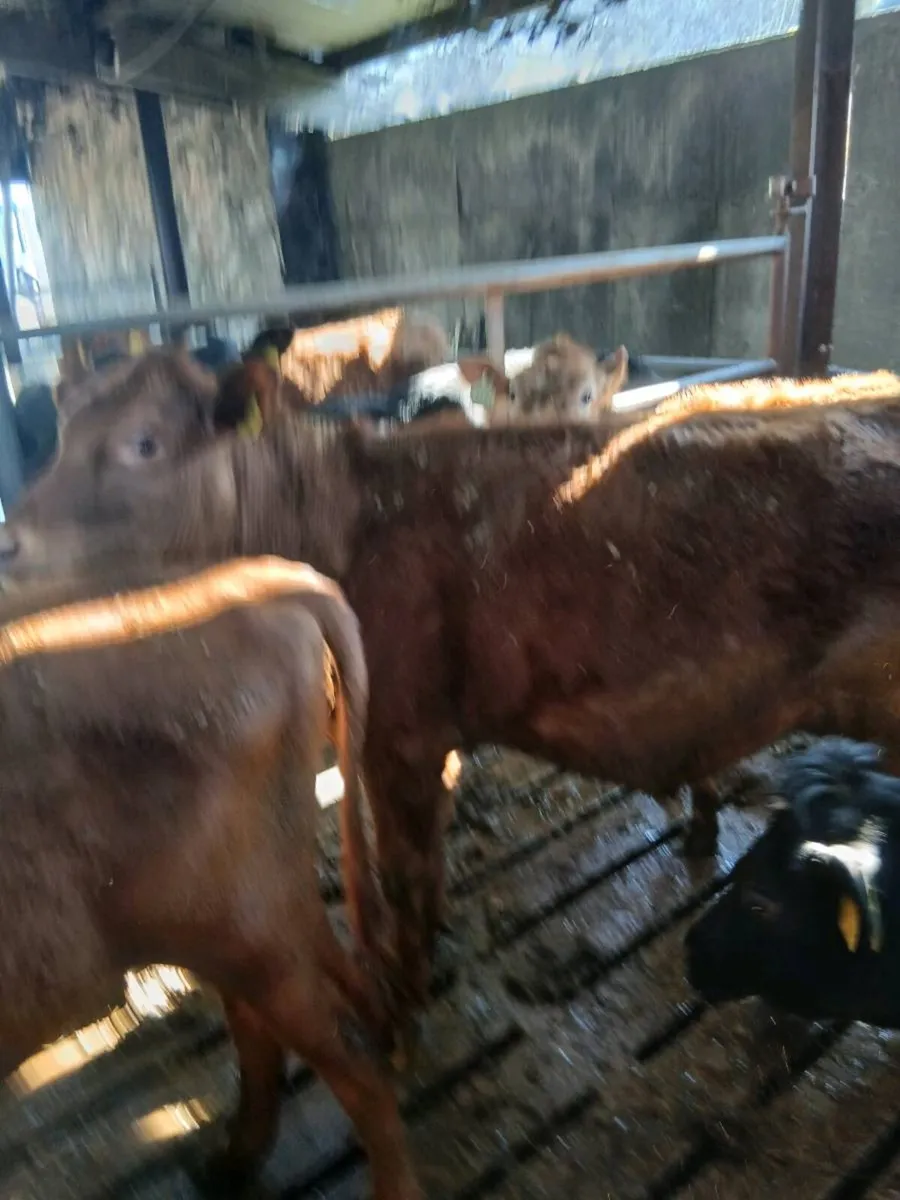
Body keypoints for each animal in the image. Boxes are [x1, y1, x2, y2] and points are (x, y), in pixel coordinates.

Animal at [0, 556, 418, 1199]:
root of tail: (263, 581)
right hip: (235, 923)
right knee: (278, 1018)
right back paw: (227, 1164)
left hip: (248, 924)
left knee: (348, 1055)